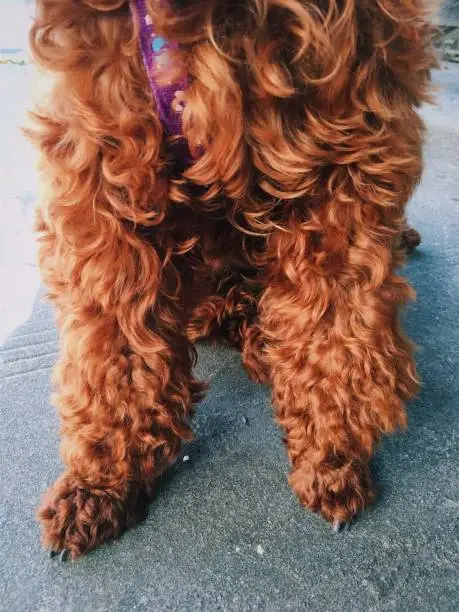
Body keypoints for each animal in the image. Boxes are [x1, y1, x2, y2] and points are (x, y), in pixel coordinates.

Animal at [28, 0, 438, 560]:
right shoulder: (102, 161)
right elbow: (111, 343)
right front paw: (103, 481)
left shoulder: (348, 144)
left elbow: (336, 324)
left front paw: (332, 455)